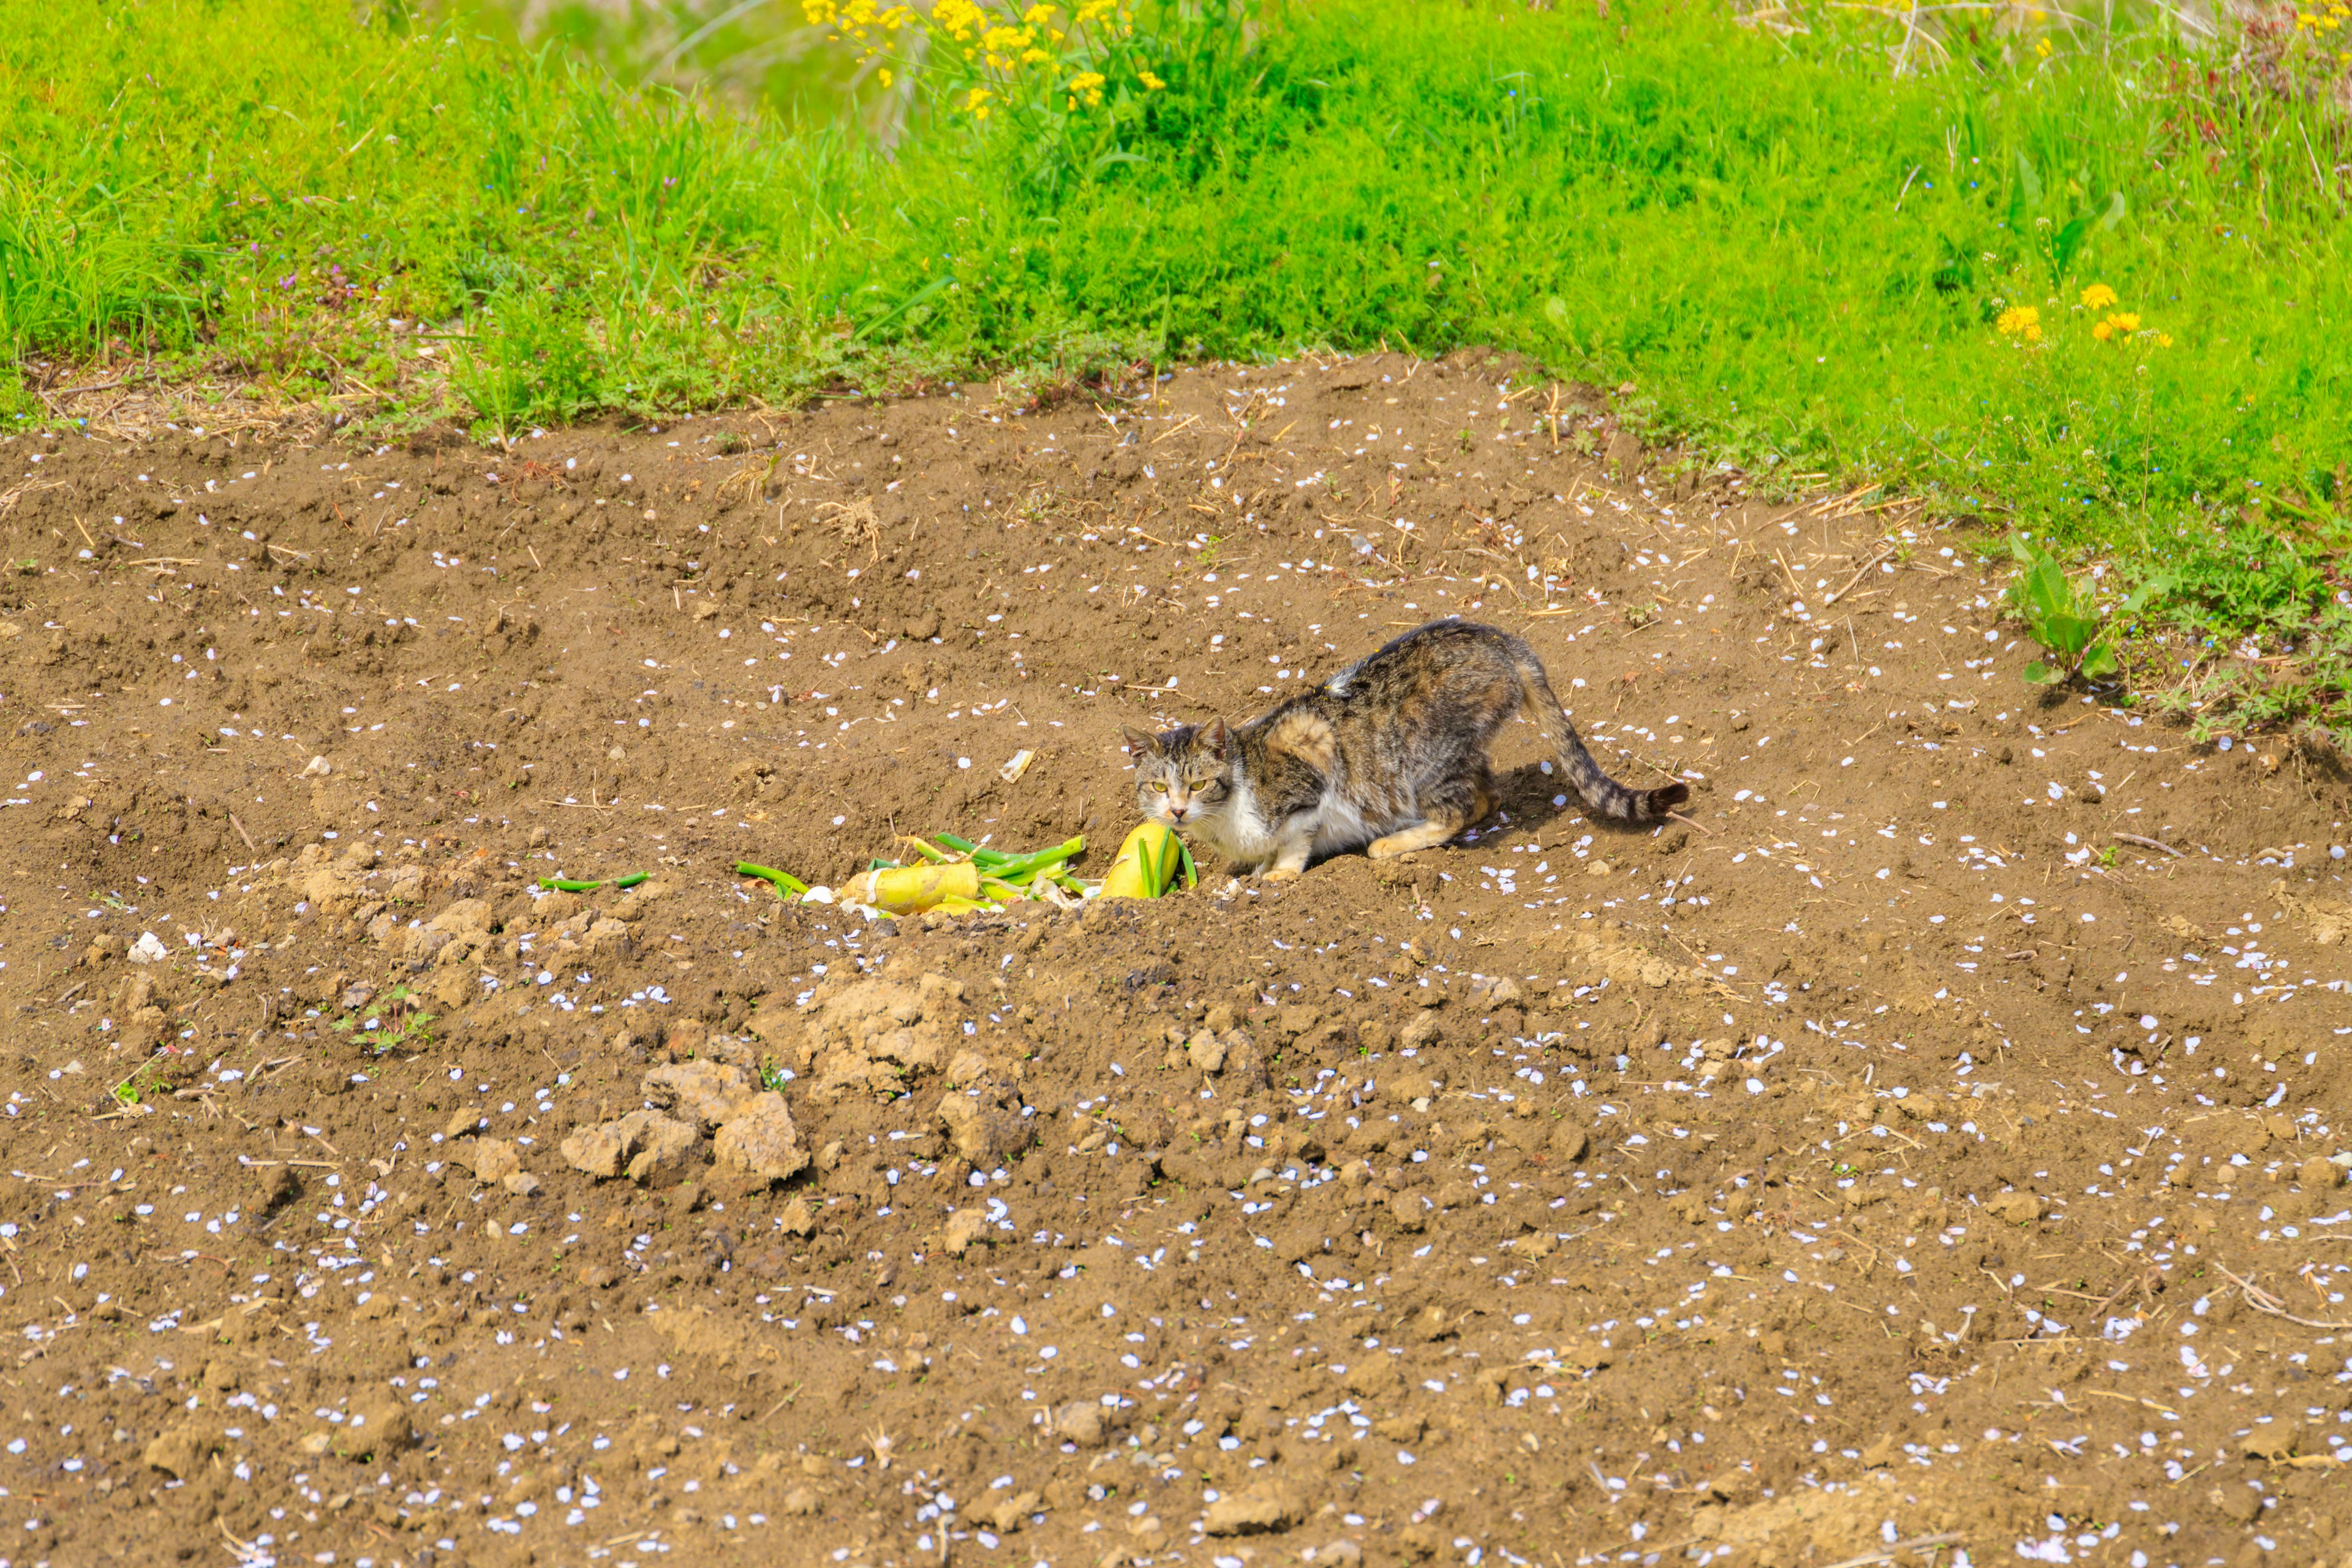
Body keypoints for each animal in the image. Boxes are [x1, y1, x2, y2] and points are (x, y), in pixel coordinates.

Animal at [1124, 616, 1693, 884]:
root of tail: (1500, 639)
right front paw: (1259, 872)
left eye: (1198, 783)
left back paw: (1389, 844)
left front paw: (1279, 874)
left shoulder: (1310, 763)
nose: (1177, 811)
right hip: (1459, 750)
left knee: (1459, 809)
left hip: (1422, 756)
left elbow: (1295, 840)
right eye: (1158, 786)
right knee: (1487, 795)